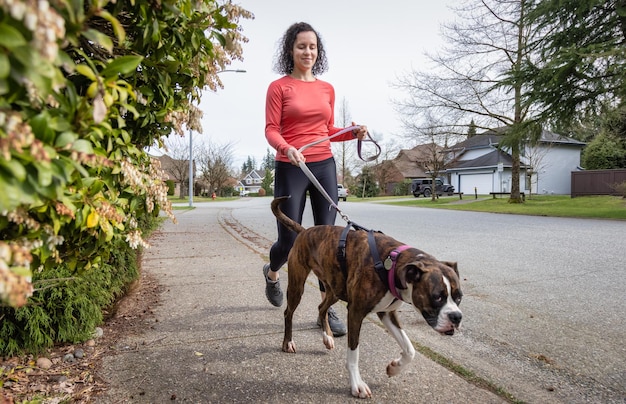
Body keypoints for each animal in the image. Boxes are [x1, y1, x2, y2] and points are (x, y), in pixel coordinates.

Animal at [270, 196, 460, 398]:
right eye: (437, 297)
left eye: (459, 298)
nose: (457, 317)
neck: (392, 264)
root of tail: (305, 231)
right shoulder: (356, 312)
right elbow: (354, 353)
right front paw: (357, 384)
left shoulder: (387, 313)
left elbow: (410, 349)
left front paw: (394, 368)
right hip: (297, 286)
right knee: (288, 313)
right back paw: (288, 342)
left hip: (335, 290)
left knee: (322, 307)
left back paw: (327, 337)